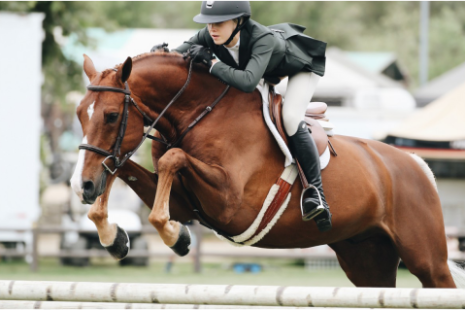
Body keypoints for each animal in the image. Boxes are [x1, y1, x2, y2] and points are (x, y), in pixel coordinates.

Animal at [70, 52, 458, 288]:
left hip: (428, 260)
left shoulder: (231, 205)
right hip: (366, 257)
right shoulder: (185, 202)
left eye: (111, 115)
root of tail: (417, 164)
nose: (82, 186)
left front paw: (175, 236)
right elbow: (120, 165)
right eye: (79, 113)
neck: (200, 113)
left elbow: (171, 159)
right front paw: (114, 236)